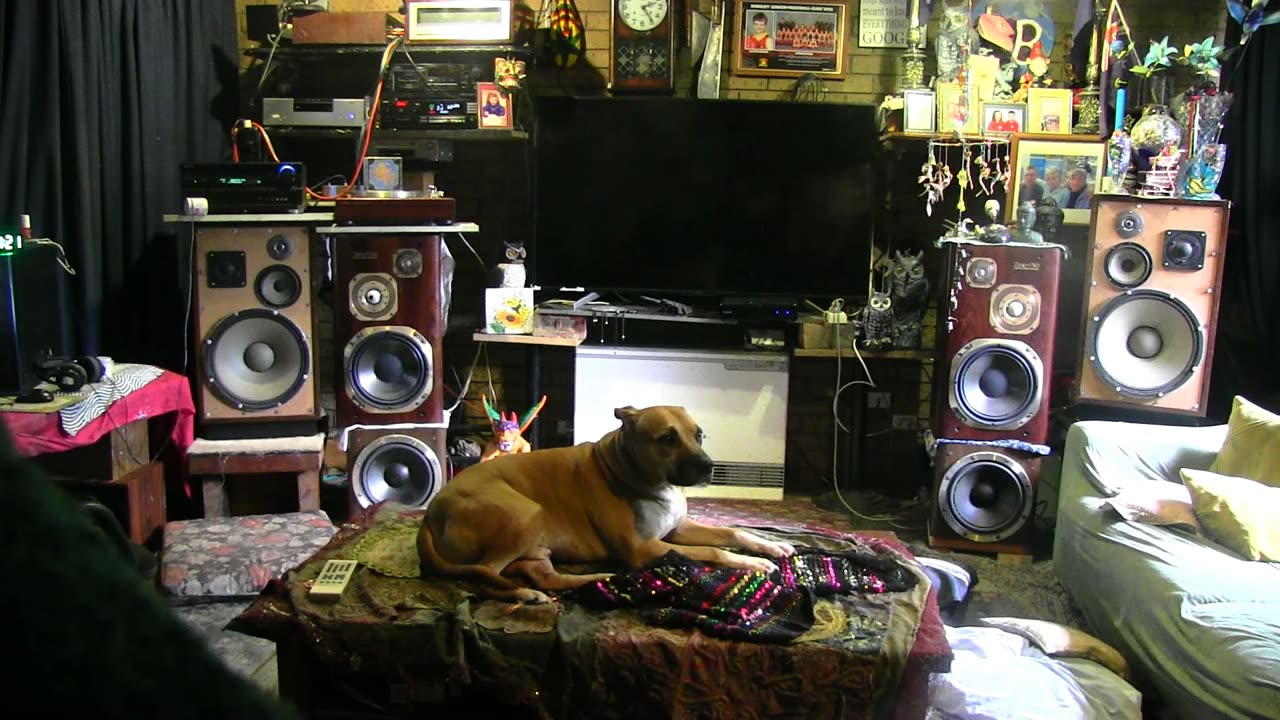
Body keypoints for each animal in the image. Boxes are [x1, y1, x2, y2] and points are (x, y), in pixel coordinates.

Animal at [419, 404, 793, 599]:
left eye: (699, 434)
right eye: (667, 438)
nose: (708, 466)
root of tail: (431, 513)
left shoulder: (677, 530)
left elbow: (732, 532)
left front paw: (771, 546)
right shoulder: (644, 548)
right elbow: (713, 552)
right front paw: (754, 564)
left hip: (536, 545)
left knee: (546, 577)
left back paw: (599, 580)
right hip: (524, 513)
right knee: (482, 575)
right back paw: (522, 594)